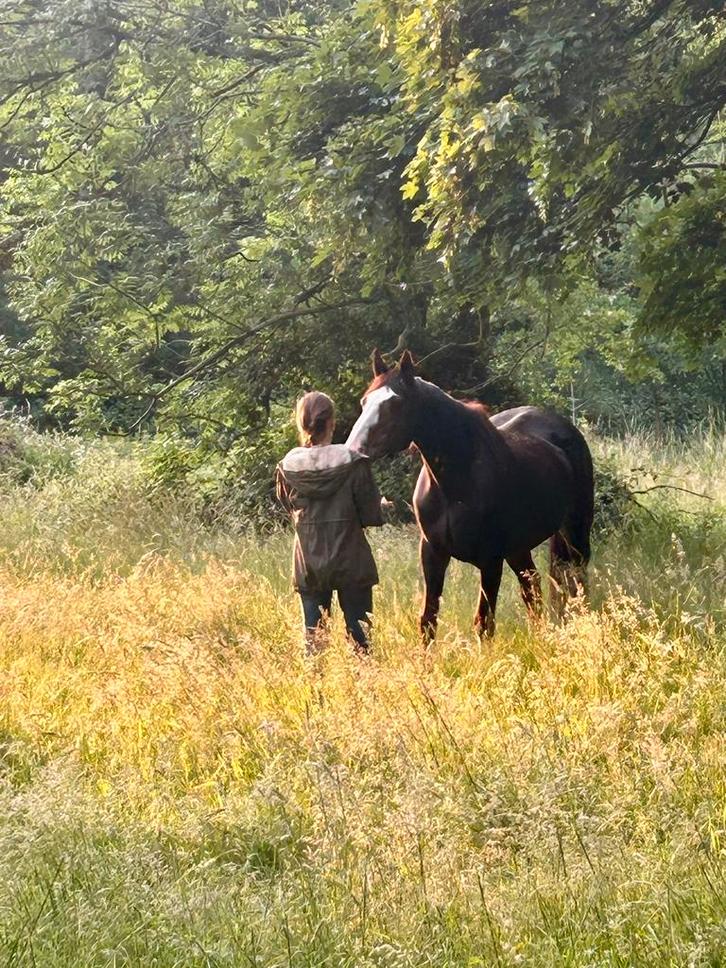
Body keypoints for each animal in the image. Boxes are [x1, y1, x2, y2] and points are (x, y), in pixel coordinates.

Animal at [346, 349, 594, 640]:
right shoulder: (433, 552)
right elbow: (428, 620)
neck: (454, 485)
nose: (354, 449)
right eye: (364, 401)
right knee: (532, 588)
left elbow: (484, 624)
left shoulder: (491, 560)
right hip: (519, 548)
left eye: (394, 403)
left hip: (575, 536)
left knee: (576, 583)